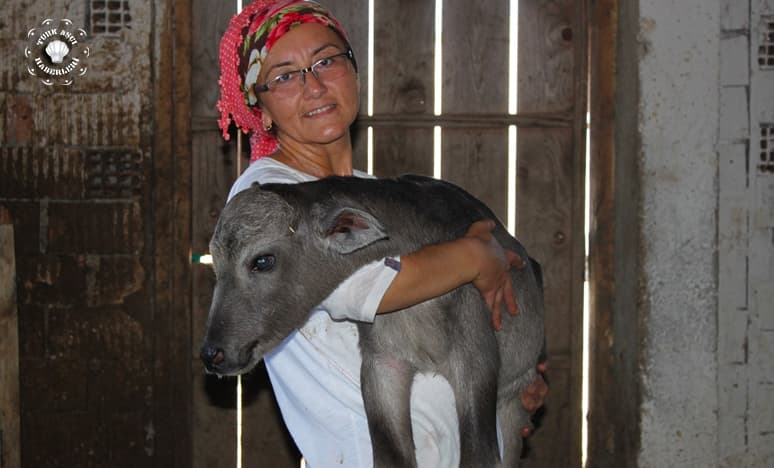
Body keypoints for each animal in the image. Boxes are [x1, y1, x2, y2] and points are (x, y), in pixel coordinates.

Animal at [203, 175, 548, 468]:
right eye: (215, 264)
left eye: (262, 260)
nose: (212, 353)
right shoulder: (381, 364)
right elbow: (391, 457)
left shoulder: (477, 358)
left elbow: (480, 456)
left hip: (514, 399)